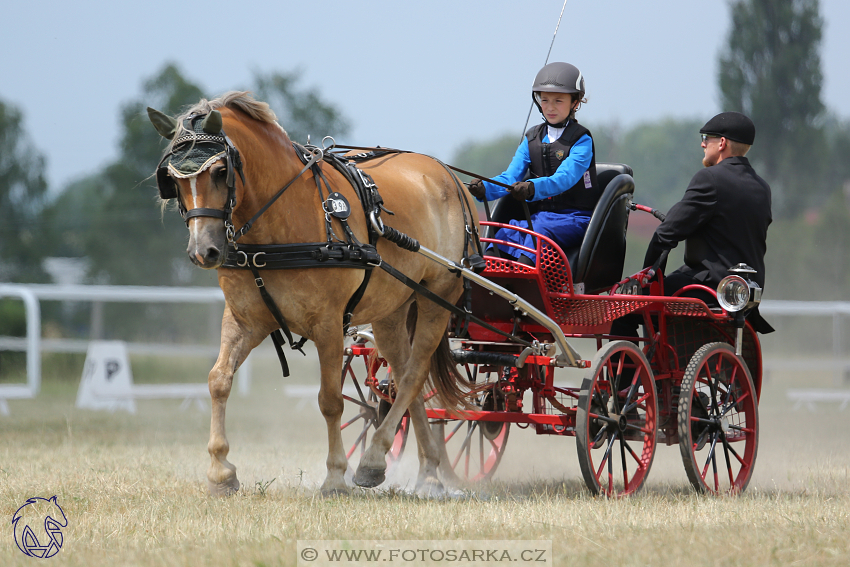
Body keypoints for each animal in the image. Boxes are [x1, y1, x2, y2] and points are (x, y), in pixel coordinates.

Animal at [147, 91, 476, 494]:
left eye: (220, 171)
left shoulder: (329, 324)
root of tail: (447, 175)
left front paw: (335, 476)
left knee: (414, 375)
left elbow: (330, 400)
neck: (280, 224)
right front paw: (221, 471)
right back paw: (422, 469)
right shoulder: (244, 320)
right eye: (171, 179)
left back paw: (375, 461)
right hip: (391, 309)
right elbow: (218, 380)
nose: (203, 251)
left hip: (437, 296)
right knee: (403, 379)